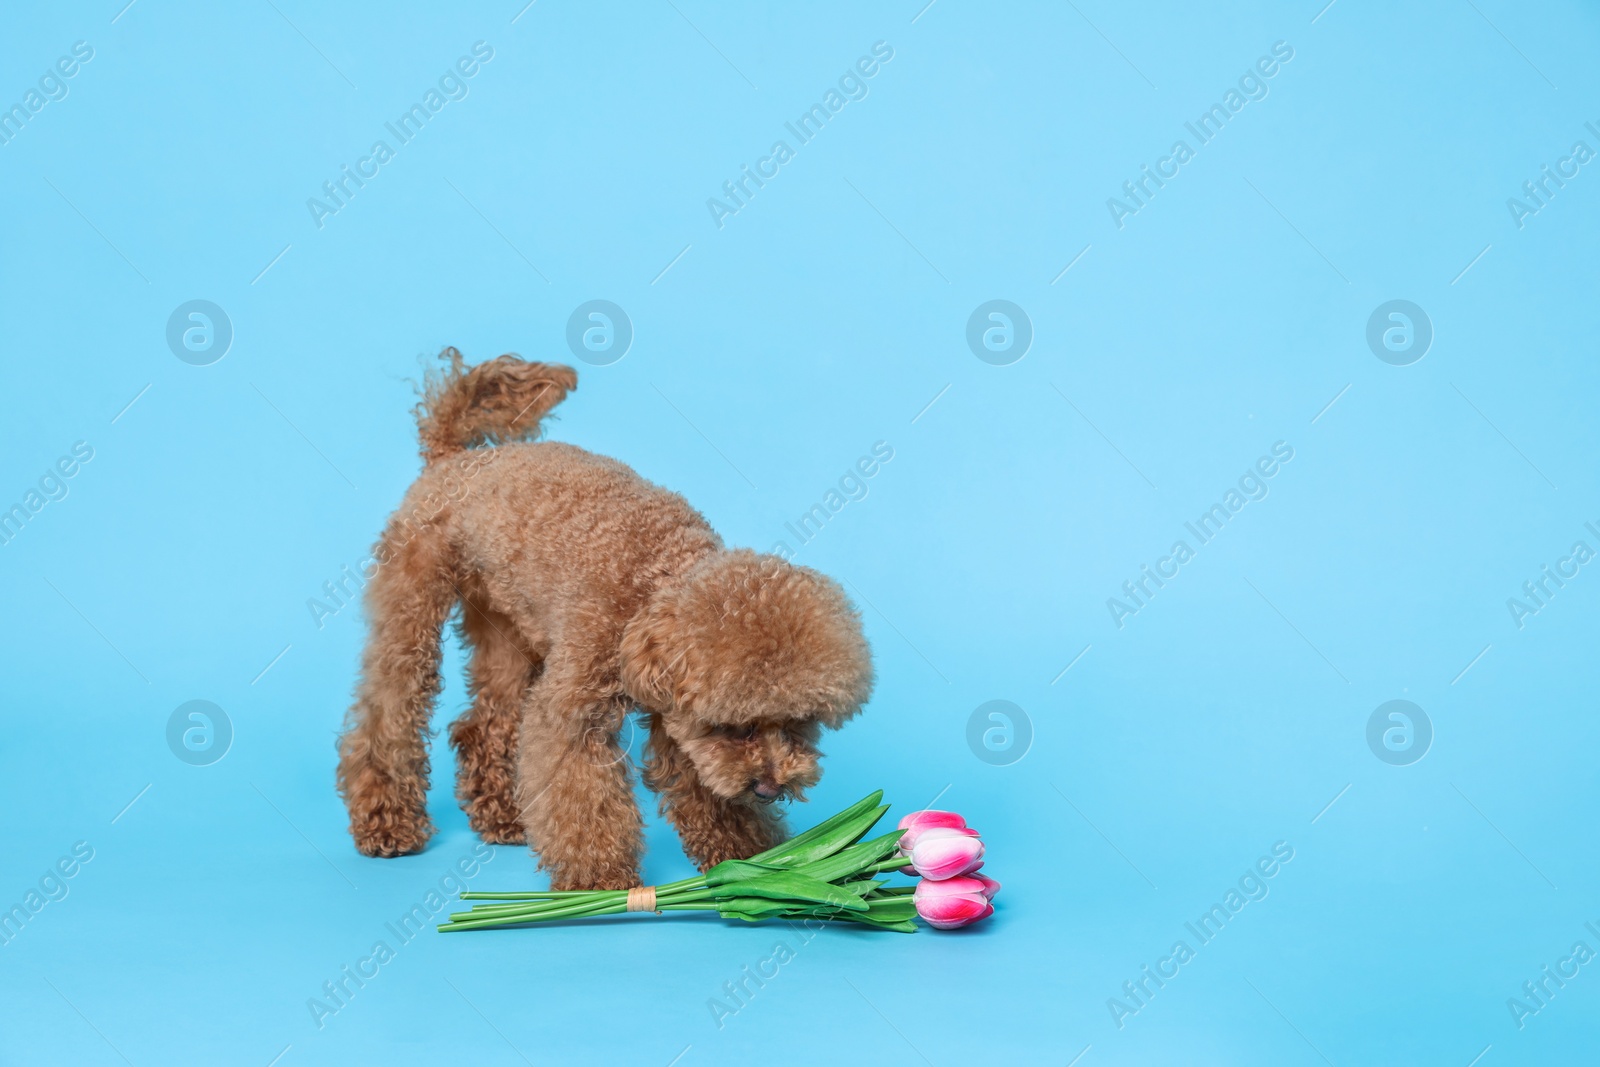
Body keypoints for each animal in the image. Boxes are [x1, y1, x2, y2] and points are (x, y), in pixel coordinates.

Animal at [336, 350, 876, 895]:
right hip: (412, 607)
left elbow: (704, 787)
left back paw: (504, 815)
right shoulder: (578, 708)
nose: (768, 787)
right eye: (734, 727)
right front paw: (600, 881)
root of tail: (452, 458)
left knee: (487, 721)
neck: (654, 579)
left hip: (505, 626)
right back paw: (389, 823)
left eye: (800, 723)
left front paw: (754, 866)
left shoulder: (677, 718)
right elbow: (581, 792)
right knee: (389, 709)